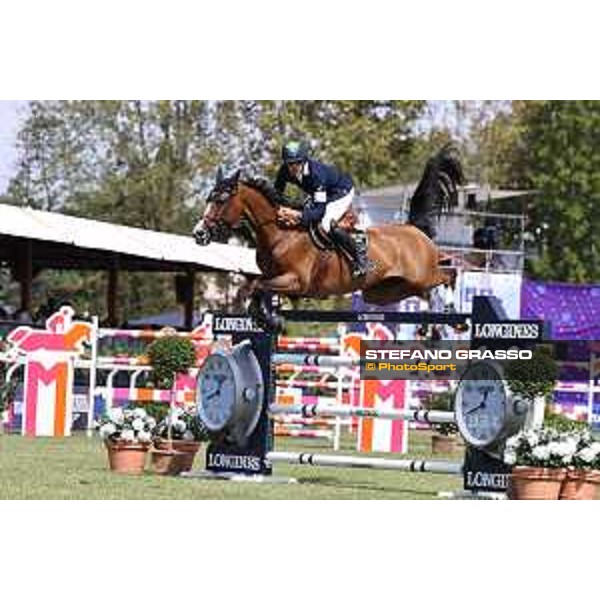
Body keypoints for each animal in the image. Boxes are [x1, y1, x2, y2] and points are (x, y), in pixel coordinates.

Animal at [195, 145, 466, 312]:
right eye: (209, 198)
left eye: (221, 200)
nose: (199, 233)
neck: (280, 235)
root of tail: (414, 229)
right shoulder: (275, 278)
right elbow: (250, 289)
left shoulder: (295, 281)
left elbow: (257, 287)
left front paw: (267, 318)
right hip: (384, 291)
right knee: (423, 292)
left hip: (423, 274)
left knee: (449, 275)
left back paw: (452, 311)